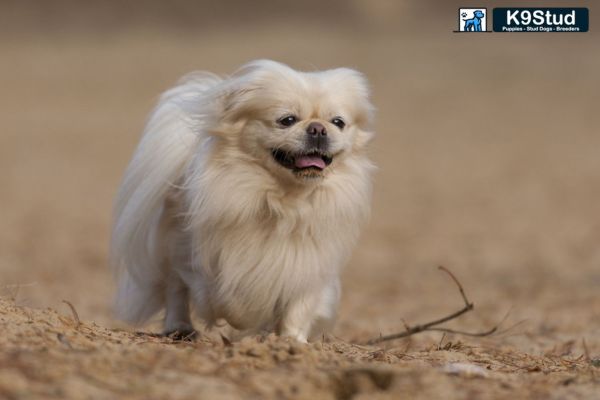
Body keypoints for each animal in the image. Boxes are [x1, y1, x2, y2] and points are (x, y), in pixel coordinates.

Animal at [110, 60, 376, 344]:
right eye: (287, 120)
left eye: (338, 122)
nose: (317, 128)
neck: (287, 200)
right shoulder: (214, 262)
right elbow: (231, 299)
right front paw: (248, 320)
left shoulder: (309, 263)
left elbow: (299, 306)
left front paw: (291, 341)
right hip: (177, 248)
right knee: (176, 290)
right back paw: (180, 328)